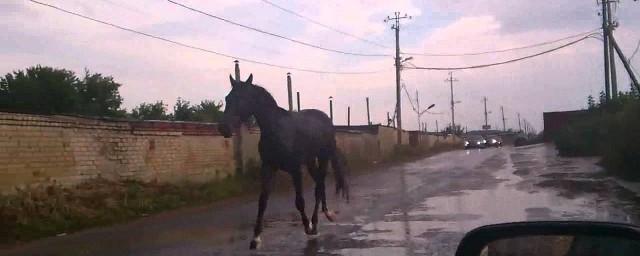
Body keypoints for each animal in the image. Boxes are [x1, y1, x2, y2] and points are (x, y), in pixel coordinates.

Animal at [220, 73, 350, 249]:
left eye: (242, 98)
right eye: (227, 98)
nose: (223, 128)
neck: (276, 129)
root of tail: (326, 119)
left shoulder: (295, 170)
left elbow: (299, 201)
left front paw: (307, 227)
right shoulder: (268, 167)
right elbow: (262, 201)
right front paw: (256, 238)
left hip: (323, 157)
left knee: (318, 187)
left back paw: (316, 223)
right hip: (310, 162)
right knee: (319, 183)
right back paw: (325, 215)